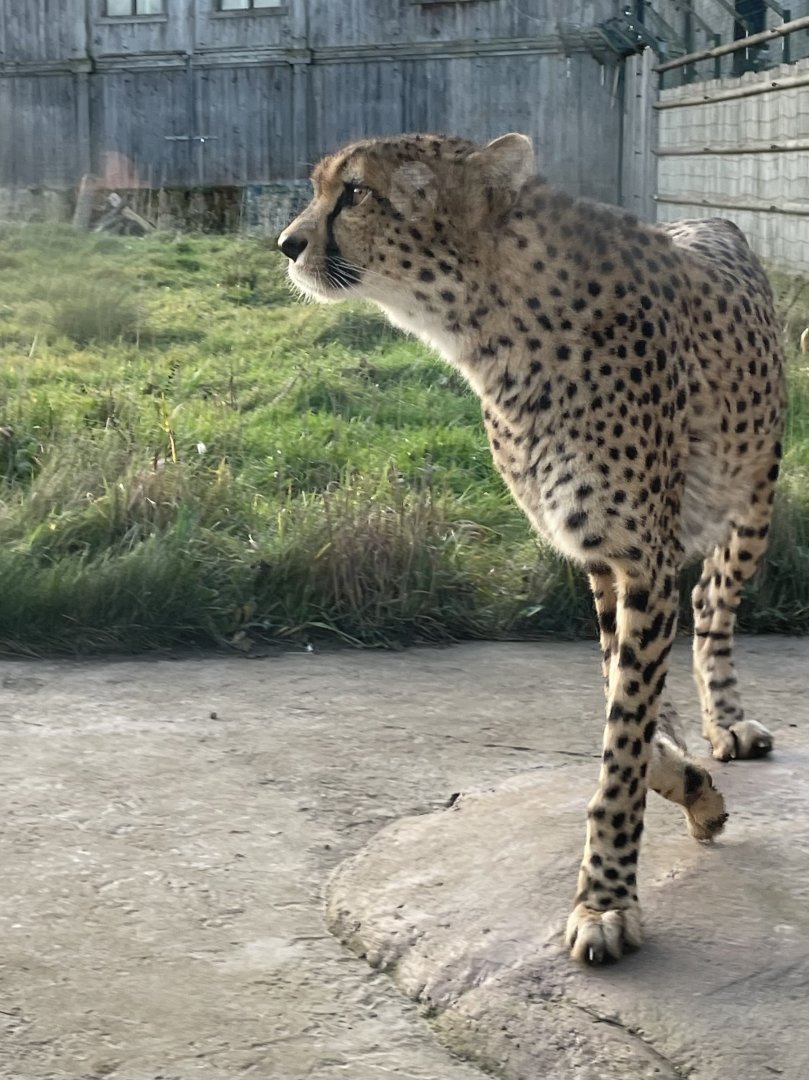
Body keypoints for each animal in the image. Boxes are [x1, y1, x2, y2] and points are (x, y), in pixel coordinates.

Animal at [278, 132, 786, 965]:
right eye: (323, 188)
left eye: (355, 192)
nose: (287, 243)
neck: (496, 332)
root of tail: (713, 220)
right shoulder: (603, 561)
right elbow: (628, 714)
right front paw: (690, 788)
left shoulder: (641, 560)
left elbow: (621, 746)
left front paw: (604, 901)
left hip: (755, 493)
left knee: (713, 601)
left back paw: (727, 722)